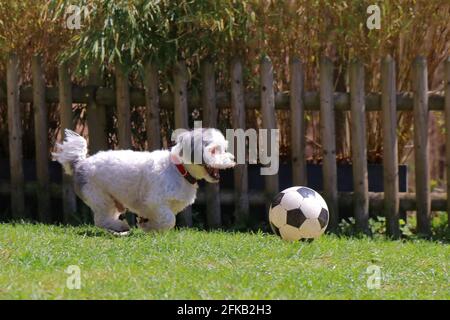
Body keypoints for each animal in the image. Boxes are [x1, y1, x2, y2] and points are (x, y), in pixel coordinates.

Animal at [52, 127, 236, 235]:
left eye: (224, 149)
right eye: (214, 150)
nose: (233, 159)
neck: (178, 170)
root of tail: (81, 163)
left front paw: (147, 225)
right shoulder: (156, 201)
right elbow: (169, 220)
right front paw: (150, 227)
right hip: (100, 196)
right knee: (101, 220)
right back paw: (120, 227)